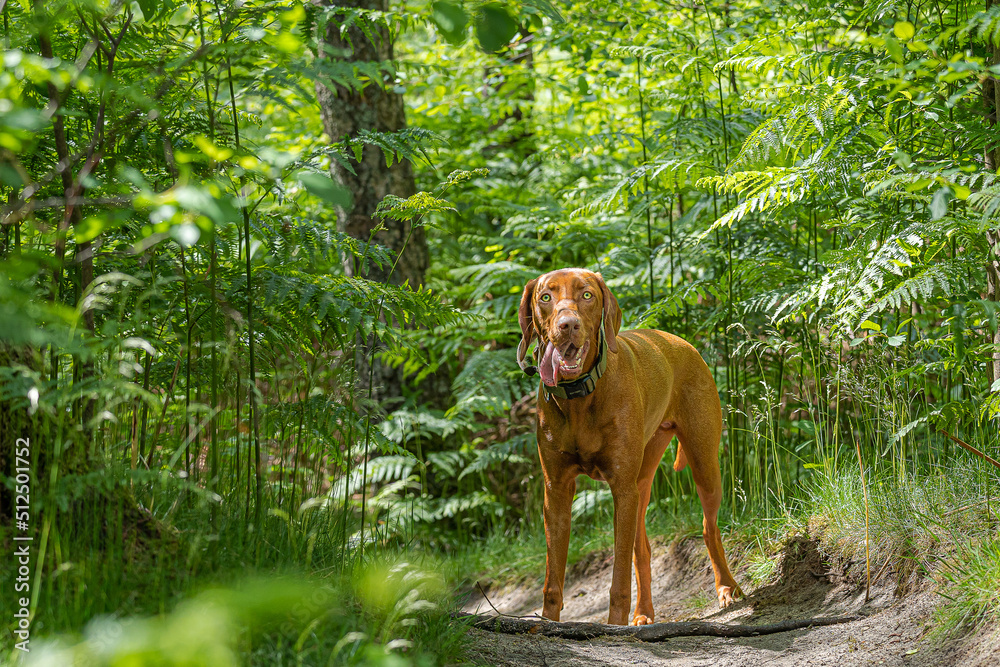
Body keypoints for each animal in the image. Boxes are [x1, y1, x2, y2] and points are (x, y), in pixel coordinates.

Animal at [516, 268, 744, 628]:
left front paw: (613, 628)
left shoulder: (621, 488)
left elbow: (619, 578)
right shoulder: (556, 492)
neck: (581, 397)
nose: (568, 325)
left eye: (587, 295)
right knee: (643, 549)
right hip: (641, 485)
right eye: (545, 297)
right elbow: (553, 580)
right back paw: (644, 613)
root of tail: (678, 341)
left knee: (709, 528)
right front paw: (548, 626)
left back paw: (727, 588)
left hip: (703, 465)